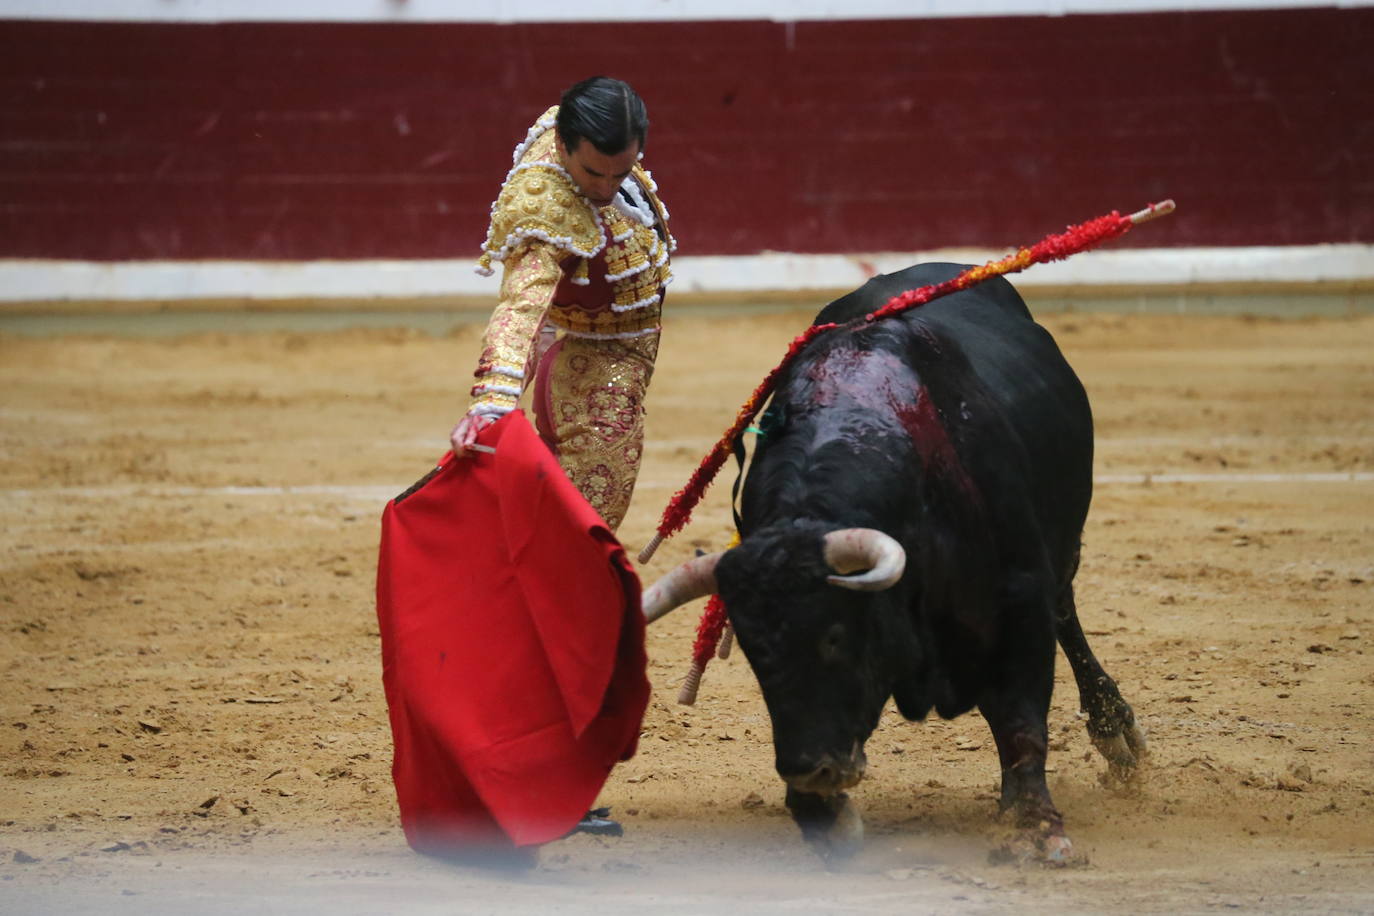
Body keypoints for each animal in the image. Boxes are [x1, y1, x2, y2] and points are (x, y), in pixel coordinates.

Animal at [643, 260, 1148, 862]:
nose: (808, 769)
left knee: (1066, 616)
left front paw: (1034, 826)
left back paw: (1116, 734)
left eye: (835, 636)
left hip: (1061, 549)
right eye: (752, 652)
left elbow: (1022, 716)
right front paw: (823, 816)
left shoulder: (1020, 597)